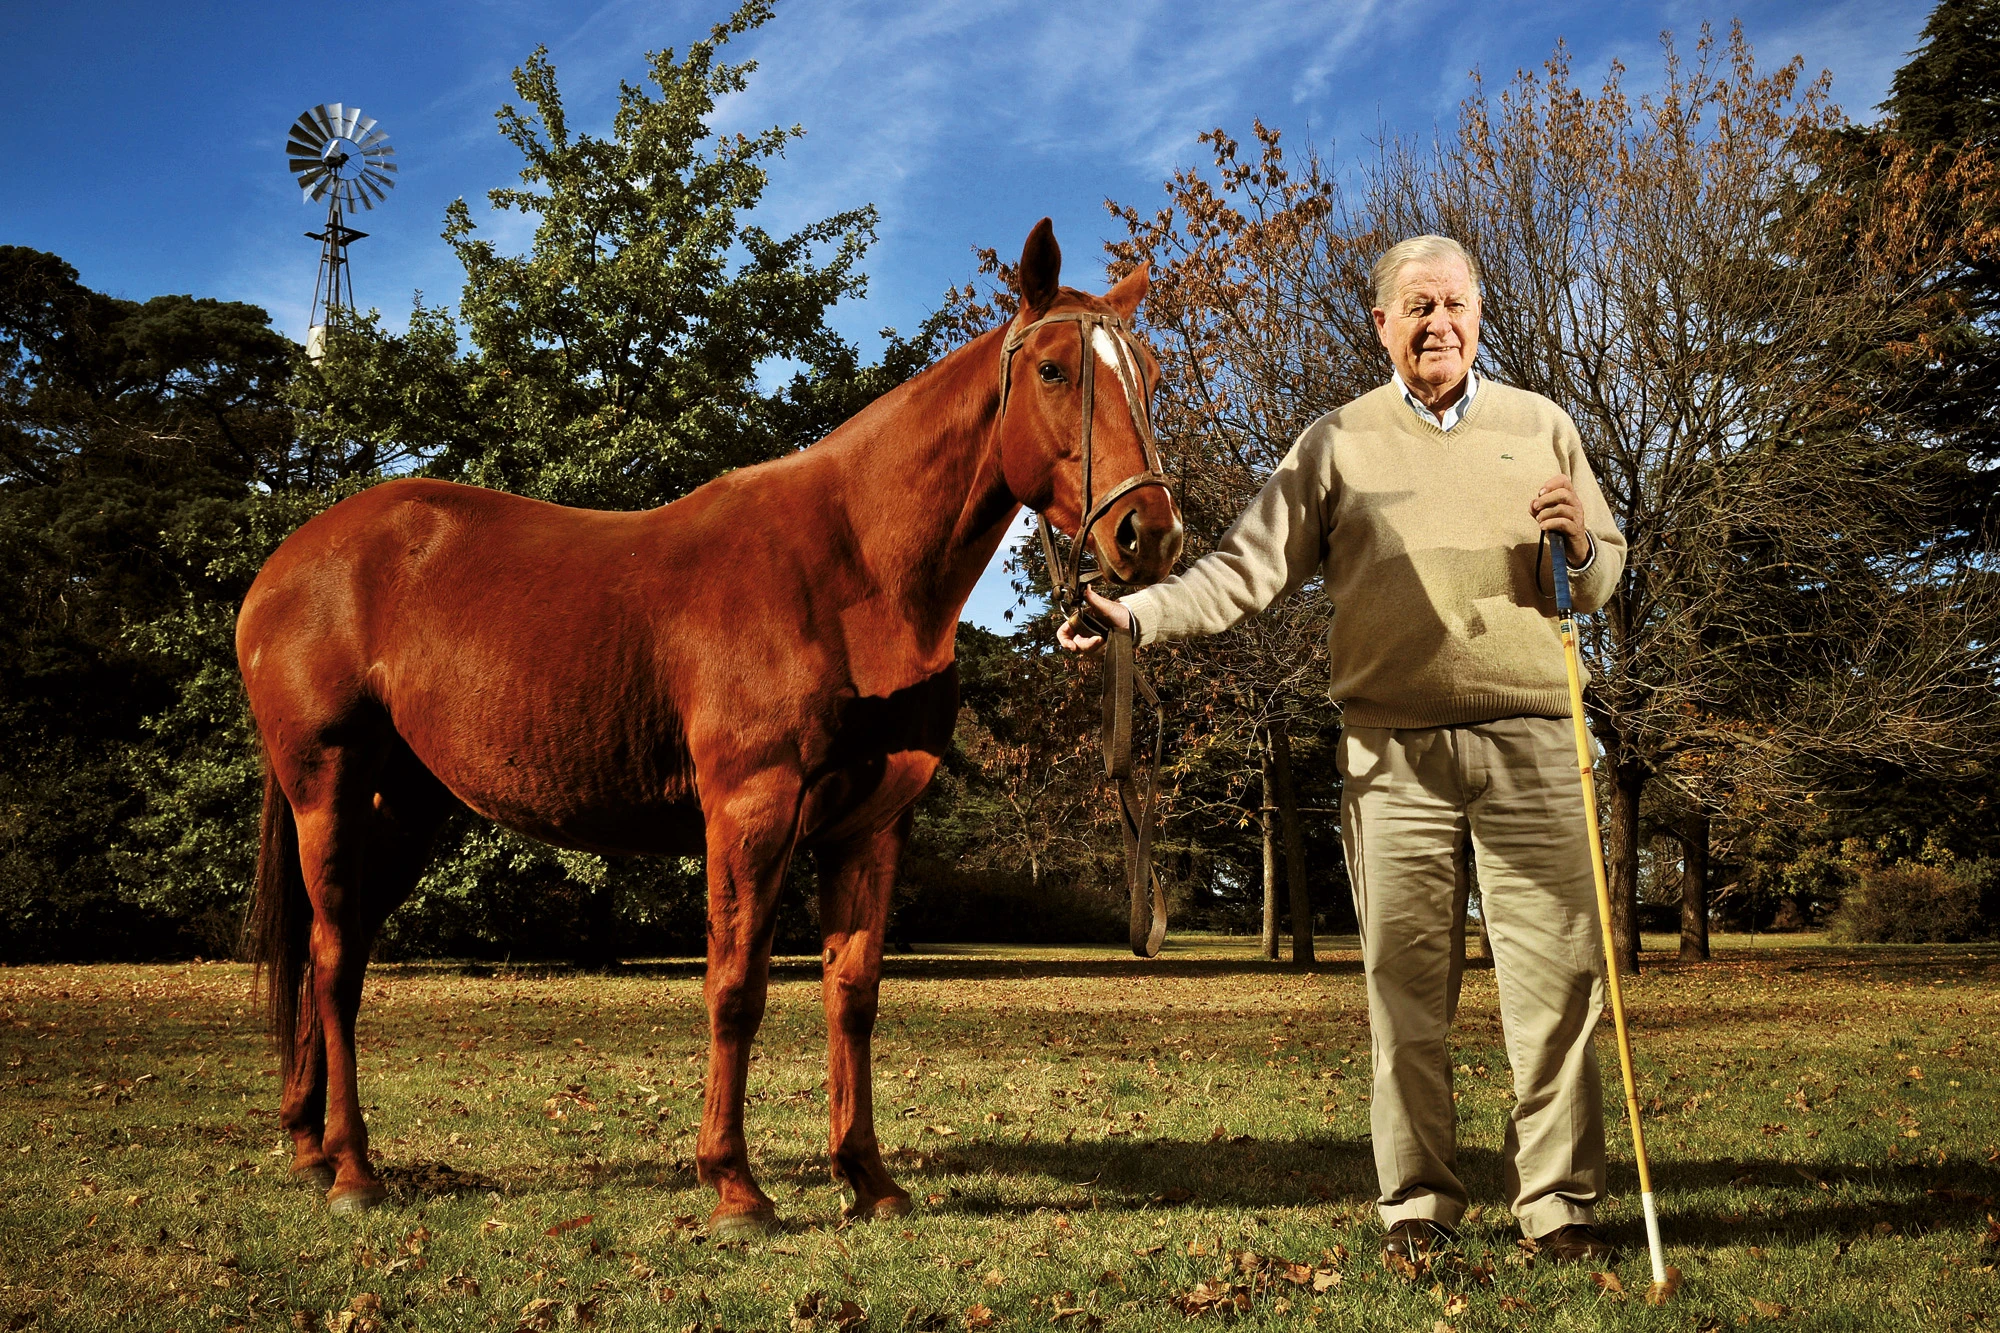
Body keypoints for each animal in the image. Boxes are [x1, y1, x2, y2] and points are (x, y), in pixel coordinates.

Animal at [234, 215, 1176, 1224]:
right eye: (1053, 370)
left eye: (1152, 376)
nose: (1149, 534)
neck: (849, 571)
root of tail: (287, 561)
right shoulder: (751, 811)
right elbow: (736, 987)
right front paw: (733, 1184)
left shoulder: (871, 825)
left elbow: (854, 994)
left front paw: (868, 1177)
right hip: (329, 790)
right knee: (334, 960)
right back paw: (353, 1169)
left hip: (405, 808)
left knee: (336, 955)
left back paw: (309, 1147)